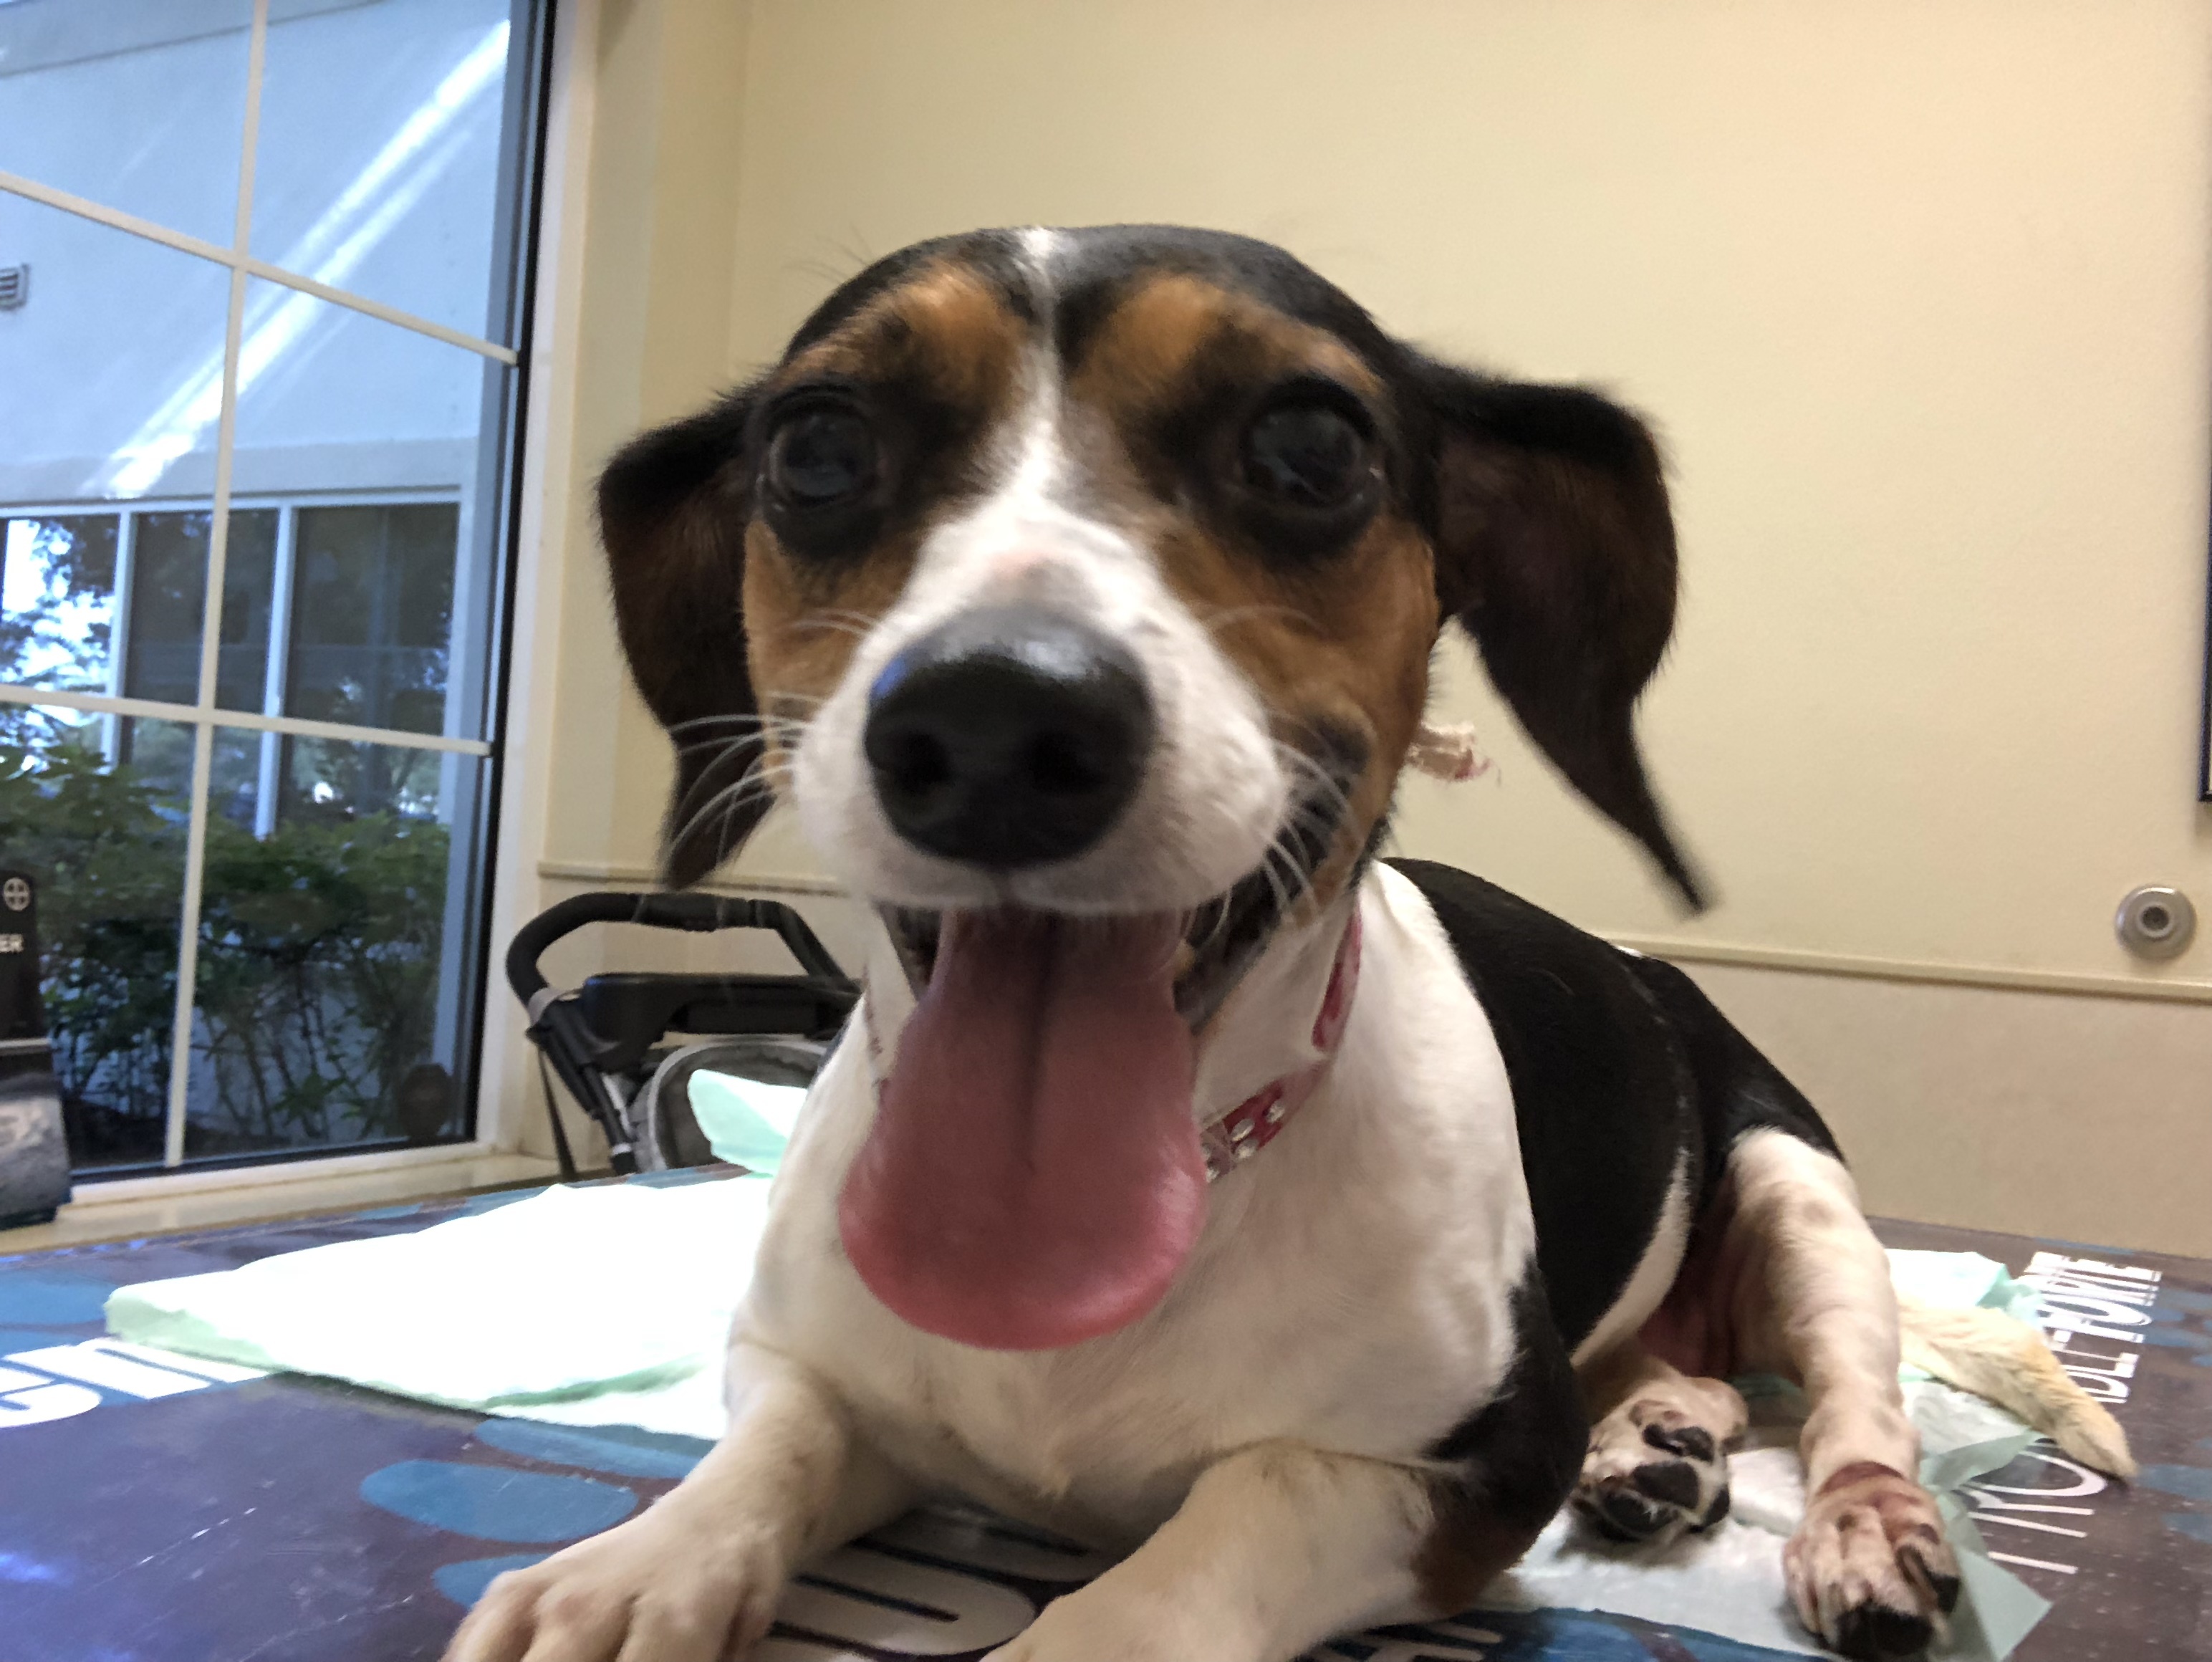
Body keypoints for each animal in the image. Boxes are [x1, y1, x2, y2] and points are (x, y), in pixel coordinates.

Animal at [444, 228, 2123, 1662]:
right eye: (815, 446)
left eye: (1309, 444)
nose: (994, 722)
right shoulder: (816, 1371)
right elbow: (765, 1458)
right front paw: (632, 1572)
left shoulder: (1444, 1474)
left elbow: (1186, 1562)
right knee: (1679, 1366)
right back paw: (1658, 1437)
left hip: (1797, 1188)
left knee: (1854, 1398)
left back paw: (1855, 1524)